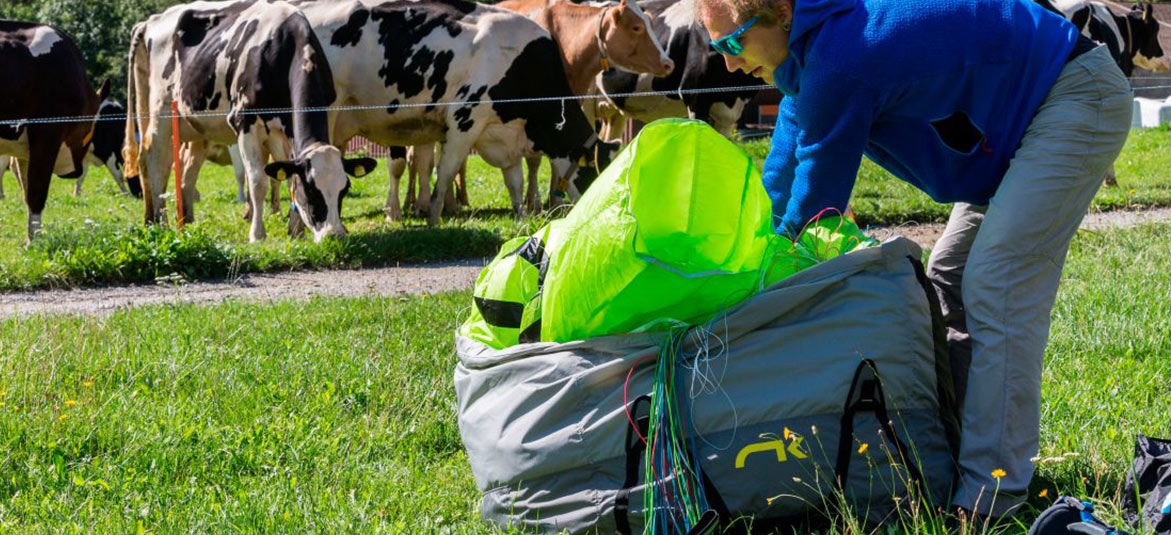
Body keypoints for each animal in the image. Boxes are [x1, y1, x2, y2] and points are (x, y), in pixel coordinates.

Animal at [0, 21, 110, 239]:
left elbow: (26, 190)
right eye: (92, 127)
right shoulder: (47, 134)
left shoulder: (25, 150)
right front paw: (34, 242)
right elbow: (36, 192)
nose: (74, 171)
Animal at [124, 0, 372, 242]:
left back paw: (182, 224)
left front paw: (296, 231)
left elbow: (287, 176)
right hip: (161, 110)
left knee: (180, 169)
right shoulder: (245, 123)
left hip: (194, 126)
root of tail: (151, 21)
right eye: (311, 190)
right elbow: (257, 181)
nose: (334, 235)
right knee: (154, 160)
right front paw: (257, 234)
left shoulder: (284, 130)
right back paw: (159, 223)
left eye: (344, 189)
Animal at [297, 0, 608, 224]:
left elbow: (515, 181)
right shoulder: (465, 120)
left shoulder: (507, 132)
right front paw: (434, 218)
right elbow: (446, 172)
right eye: (597, 173)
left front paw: (521, 217)